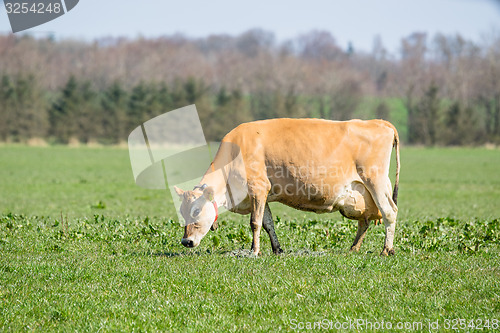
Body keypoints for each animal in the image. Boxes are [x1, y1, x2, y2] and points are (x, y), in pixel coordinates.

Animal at [174, 118, 400, 255]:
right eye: (182, 211)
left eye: (196, 211)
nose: (186, 242)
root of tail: (379, 122)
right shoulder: (263, 194)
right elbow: (268, 223)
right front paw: (277, 249)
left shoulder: (258, 187)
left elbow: (255, 223)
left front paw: (254, 251)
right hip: (361, 194)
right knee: (365, 221)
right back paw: (354, 248)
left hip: (375, 181)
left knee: (389, 212)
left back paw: (386, 249)